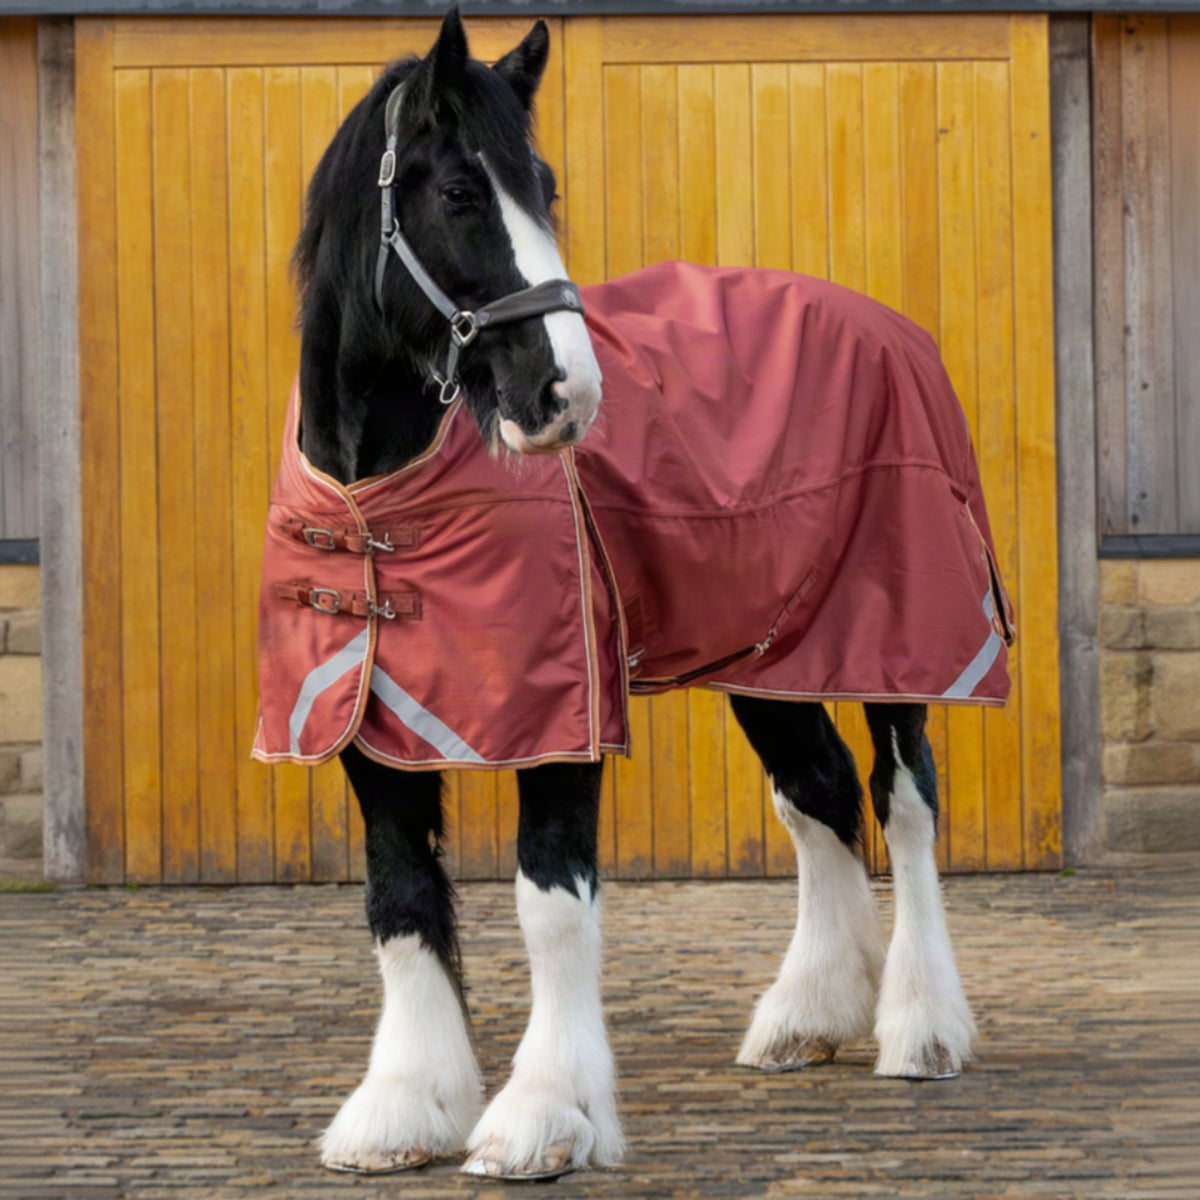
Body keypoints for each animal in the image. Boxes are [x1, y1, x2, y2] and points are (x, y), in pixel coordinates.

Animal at [260, 6, 1005, 1180]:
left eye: (545, 184)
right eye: (460, 191)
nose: (565, 393)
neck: (381, 493)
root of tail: (893, 328)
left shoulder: (563, 716)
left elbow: (552, 905)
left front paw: (544, 1117)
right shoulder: (361, 726)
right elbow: (401, 898)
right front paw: (403, 1110)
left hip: (898, 645)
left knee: (906, 798)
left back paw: (920, 1030)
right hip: (772, 657)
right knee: (820, 791)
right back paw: (807, 1015)